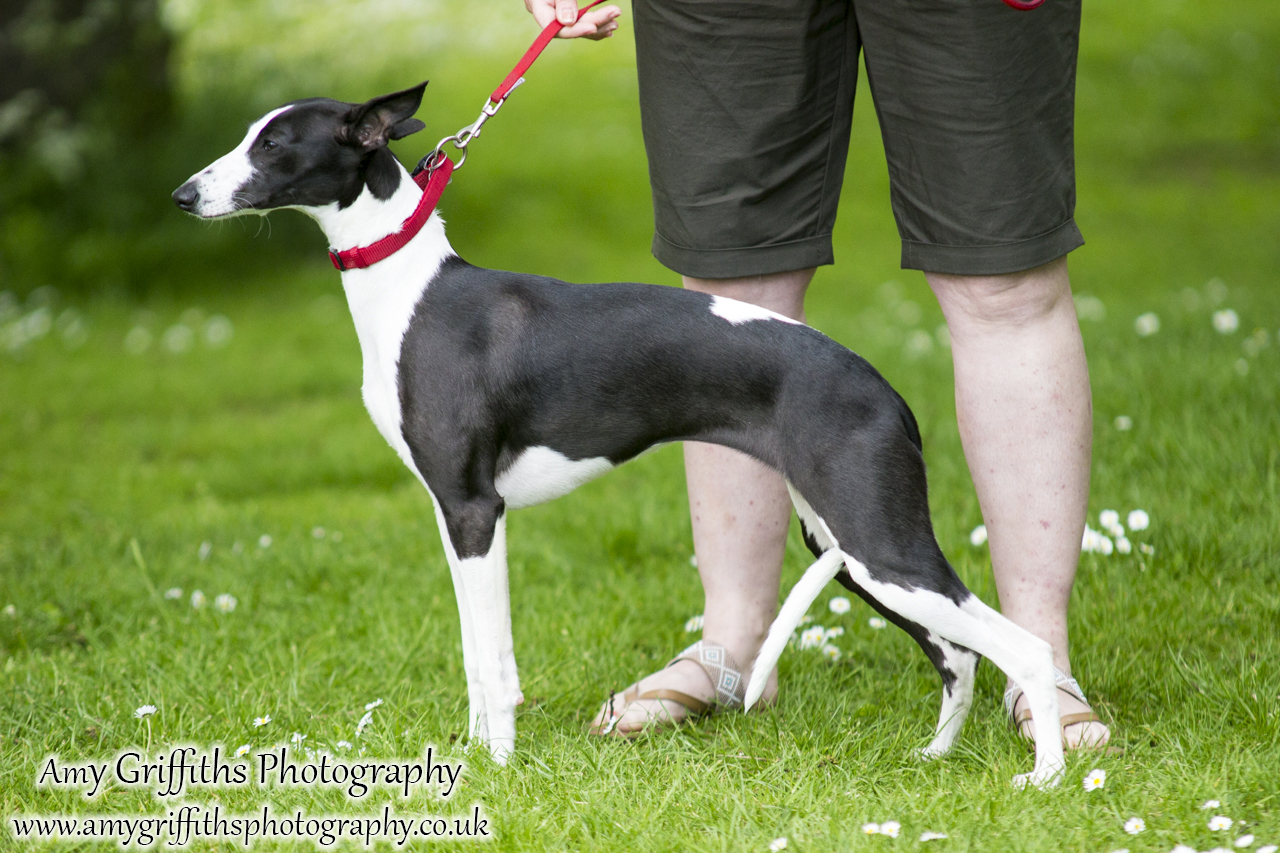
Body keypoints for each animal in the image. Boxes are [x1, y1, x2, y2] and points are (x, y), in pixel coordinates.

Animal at [172, 84, 1070, 783]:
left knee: (1019, 646)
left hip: (882, 546)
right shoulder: (451, 515)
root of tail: (884, 386)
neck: (413, 289)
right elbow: (473, 653)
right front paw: (471, 756)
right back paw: (936, 757)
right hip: (851, 549)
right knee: (958, 655)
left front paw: (498, 768)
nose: (183, 196)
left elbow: (492, 656)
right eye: (250, 134)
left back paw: (1048, 777)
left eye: (274, 143)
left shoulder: (475, 512)